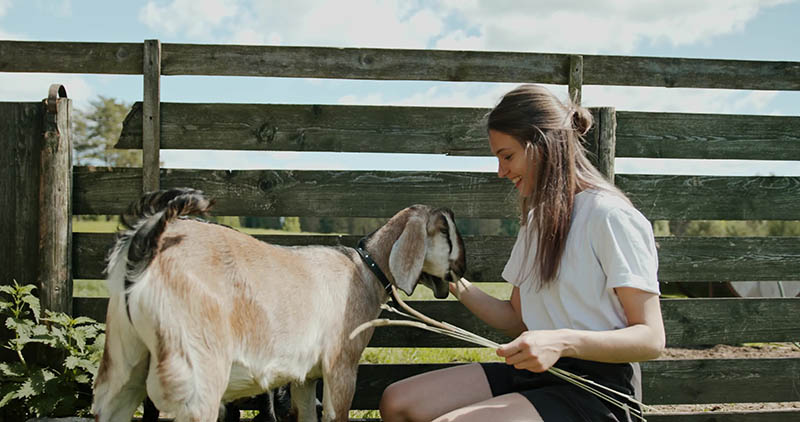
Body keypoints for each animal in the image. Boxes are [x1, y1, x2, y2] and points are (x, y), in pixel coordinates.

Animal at [90, 189, 466, 422]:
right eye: (447, 231)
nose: (463, 270)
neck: (364, 270)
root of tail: (144, 245)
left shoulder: (305, 379)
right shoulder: (340, 367)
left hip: (122, 370)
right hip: (196, 377)